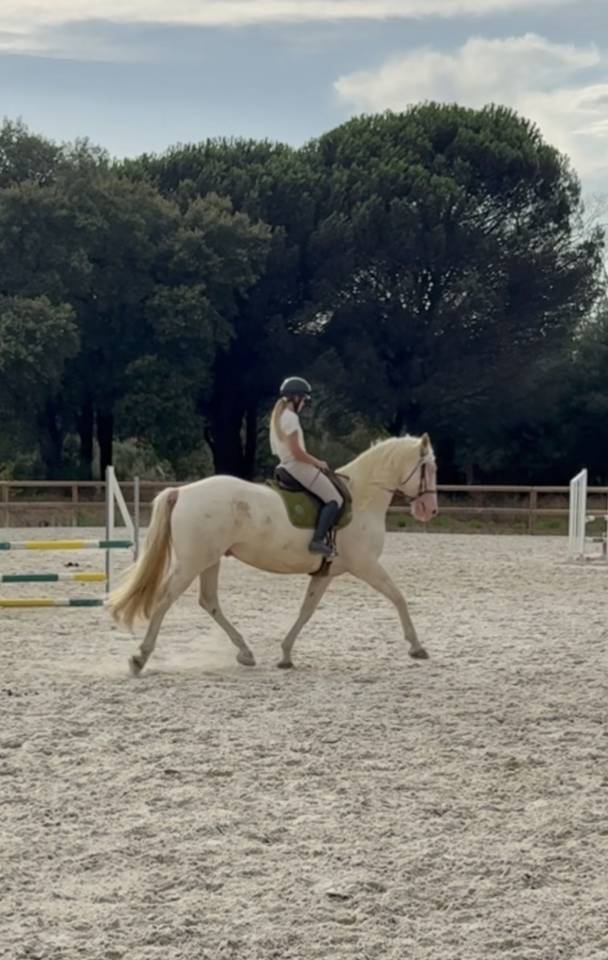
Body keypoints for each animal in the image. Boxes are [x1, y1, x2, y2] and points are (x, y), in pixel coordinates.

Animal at [107, 433, 438, 674]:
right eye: (428, 468)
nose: (430, 510)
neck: (363, 497)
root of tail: (183, 491)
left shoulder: (326, 572)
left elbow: (306, 611)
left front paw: (285, 655)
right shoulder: (366, 565)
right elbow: (398, 597)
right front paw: (416, 646)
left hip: (209, 560)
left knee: (209, 601)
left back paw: (245, 652)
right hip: (192, 563)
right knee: (165, 600)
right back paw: (140, 658)